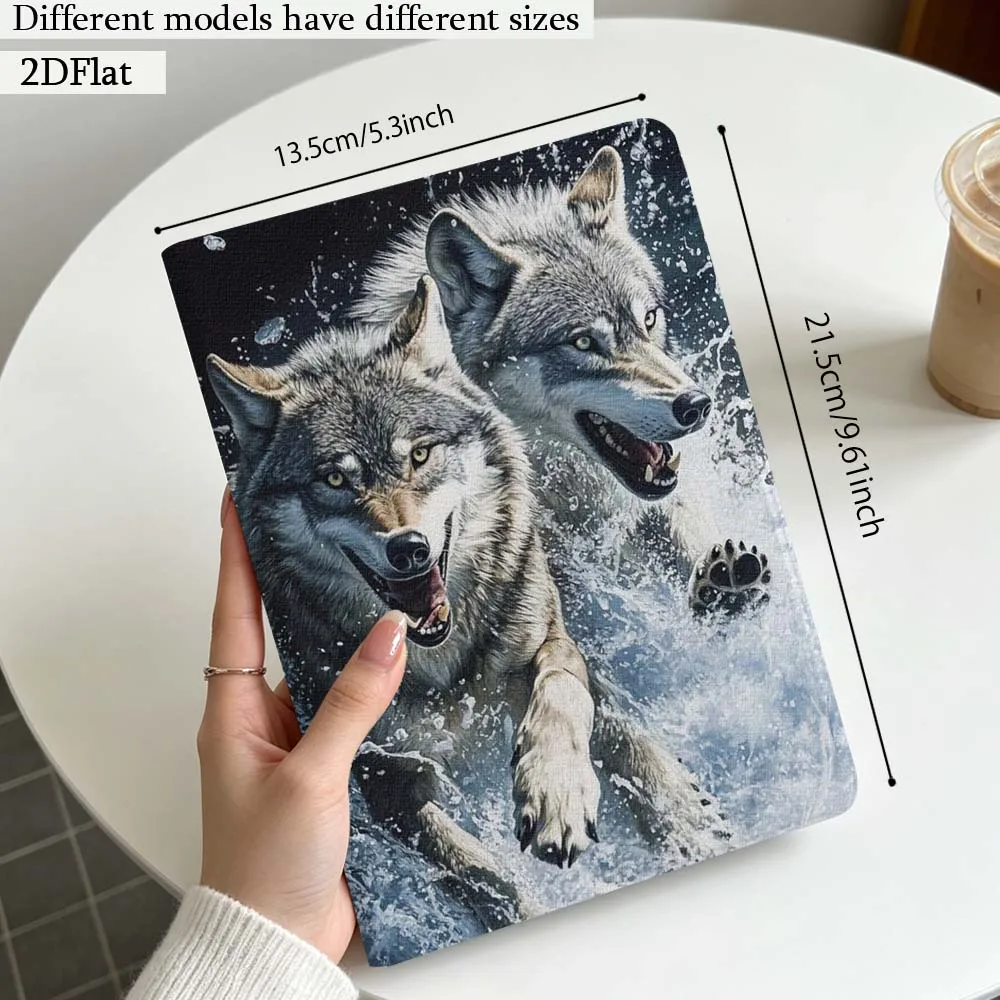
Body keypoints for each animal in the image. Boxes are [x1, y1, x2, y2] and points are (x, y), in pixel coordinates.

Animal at [205, 276, 729, 929]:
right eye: (335, 480)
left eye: (419, 455)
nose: (408, 549)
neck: (441, 660)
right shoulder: (386, 777)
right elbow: (480, 871)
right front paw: (525, 906)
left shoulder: (554, 645)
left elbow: (578, 705)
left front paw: (573, 797)